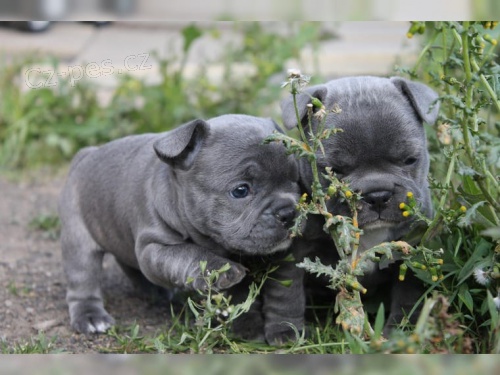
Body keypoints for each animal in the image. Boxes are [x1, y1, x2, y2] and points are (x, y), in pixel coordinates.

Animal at [61, 115, 306, 346]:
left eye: (295, 181)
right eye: (241, 190)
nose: (288, 213)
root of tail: (85, 155)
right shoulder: (154, 248)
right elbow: (190, 254)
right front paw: (220, 271)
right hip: (78, 240)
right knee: (83, 280)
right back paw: (91, 317)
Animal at [284, 76, 440, 332]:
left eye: (410, 160)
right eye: (334, 171)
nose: (378, 195)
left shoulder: (411, 249)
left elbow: (408, 294)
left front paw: (400, 330)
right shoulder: (299, 254)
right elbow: (290, 292)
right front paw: (291, 330)